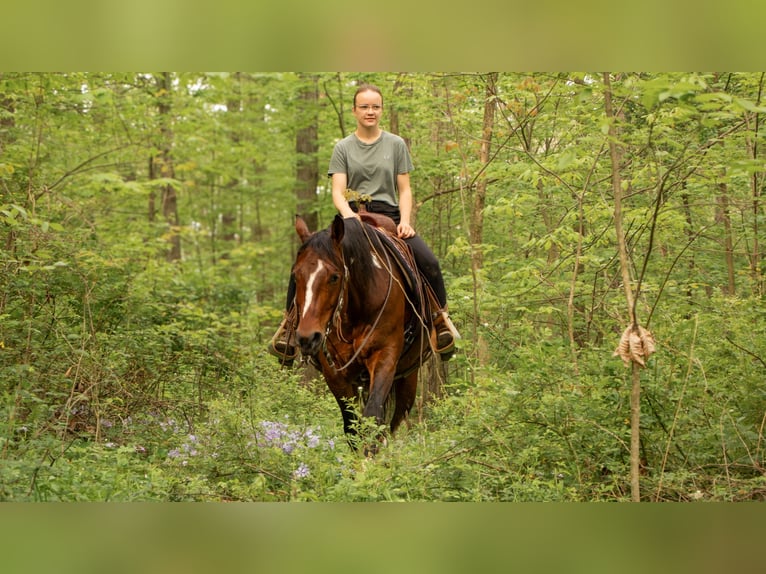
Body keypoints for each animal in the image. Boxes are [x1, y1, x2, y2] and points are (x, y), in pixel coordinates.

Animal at [294, 215, 436, 450]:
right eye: (296, 276)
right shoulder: (334, 372)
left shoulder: (385, 357)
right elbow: (352, 427)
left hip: (408, 378)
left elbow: (373, 420)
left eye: (334, 277)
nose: (307, 338)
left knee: (395, 419)